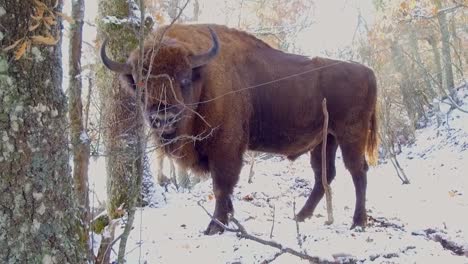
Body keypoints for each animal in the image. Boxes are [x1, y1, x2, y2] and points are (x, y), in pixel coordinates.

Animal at [100, 23, 378, 234]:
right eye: (141, 83)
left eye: (184, 79)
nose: (163, 116)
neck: (205, 78)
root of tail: (369, 71)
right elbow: (224, 188)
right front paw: (227, 219)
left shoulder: (225, 148)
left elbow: (221, 185)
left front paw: (215, 226)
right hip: (325, 140)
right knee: (324, 175)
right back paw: (300, 216)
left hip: (350, 135)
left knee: (358, 172)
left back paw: (357, 222)